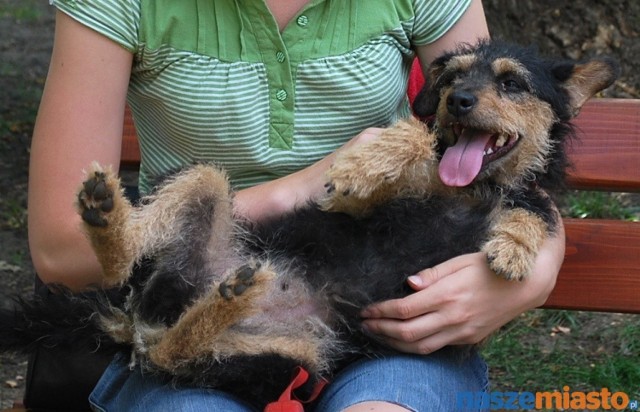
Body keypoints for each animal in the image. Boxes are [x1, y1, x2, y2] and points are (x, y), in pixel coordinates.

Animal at [1, 40, 620, 408]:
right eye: (451, 81)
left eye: (513, 83)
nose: (460, 101)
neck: (471, 189)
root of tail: (138, 314)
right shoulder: (354, 209)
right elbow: (412, 142)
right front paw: (365, 162)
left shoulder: (521, 200)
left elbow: (531, 211)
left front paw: (513, 249)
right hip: (207, 194)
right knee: (150, 305)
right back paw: (109, 221)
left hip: (289, 356)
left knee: (170, 352)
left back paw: (225, 296)